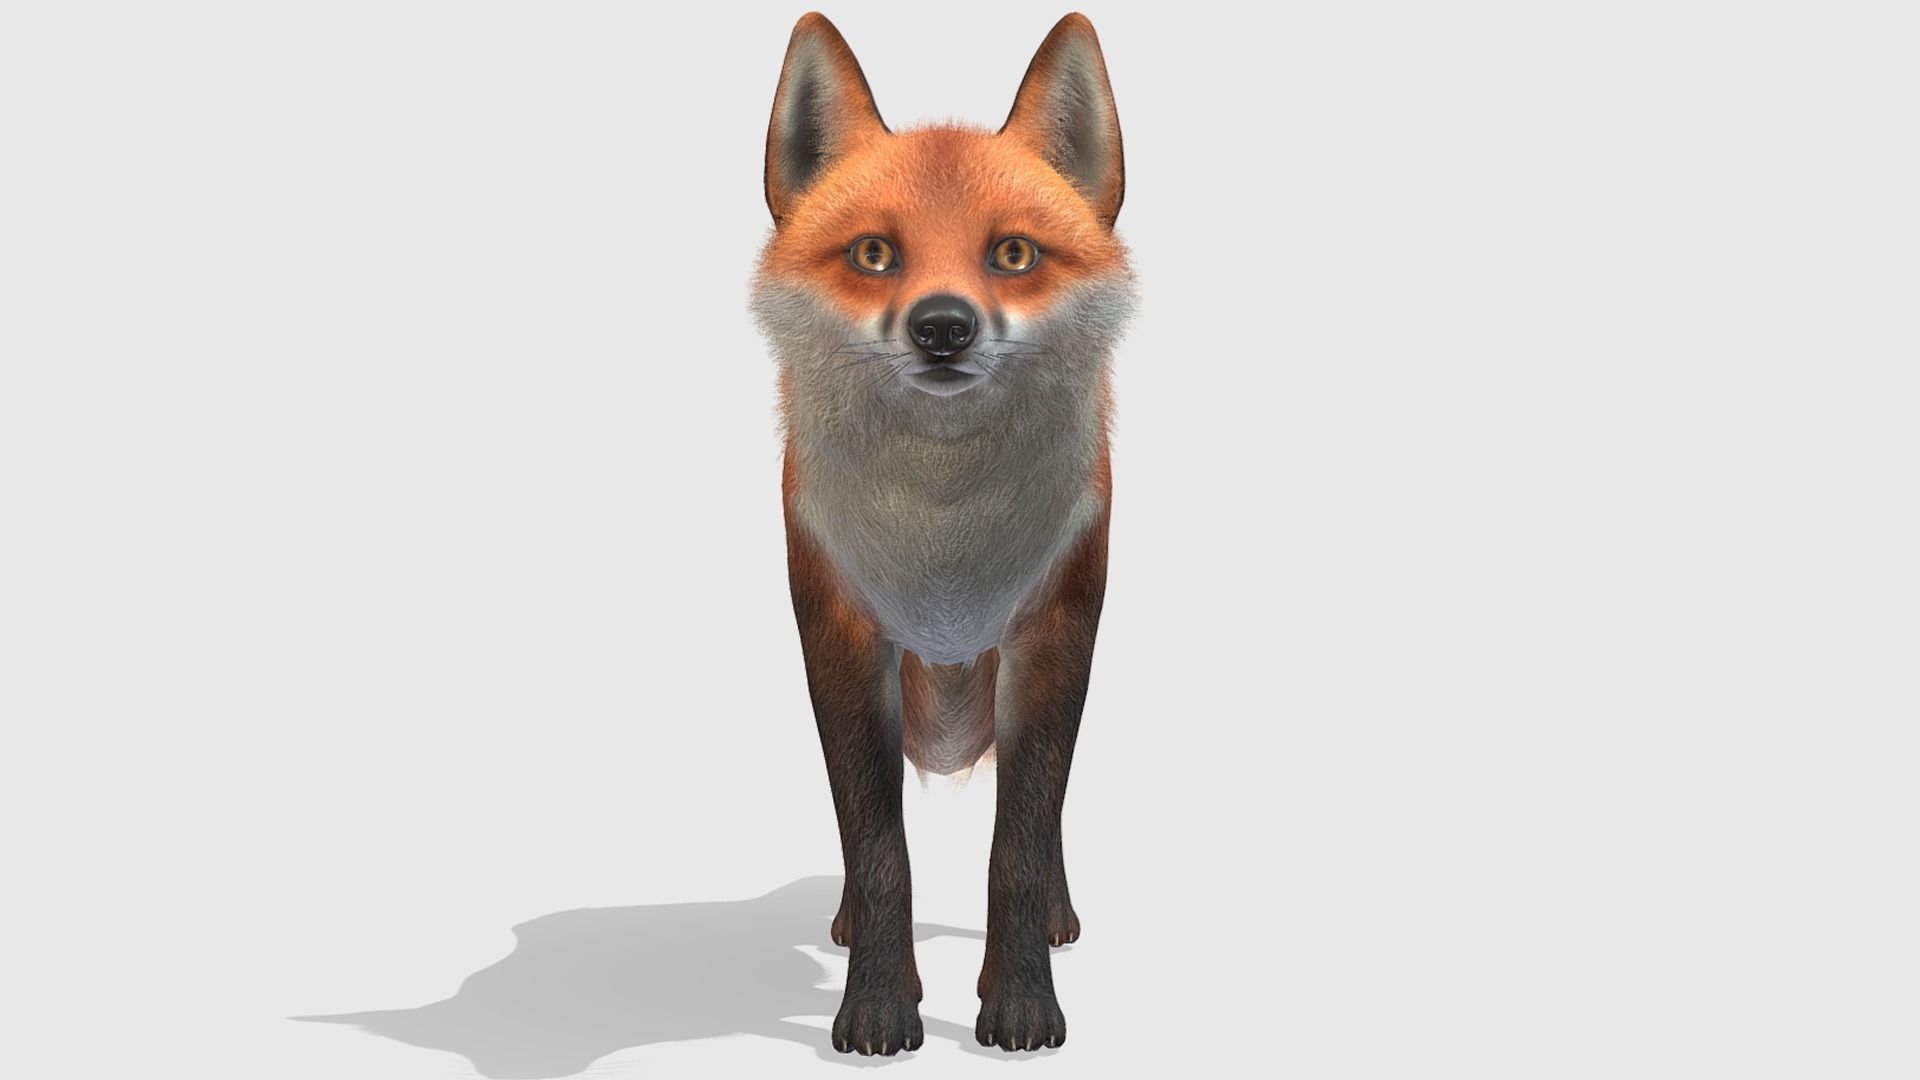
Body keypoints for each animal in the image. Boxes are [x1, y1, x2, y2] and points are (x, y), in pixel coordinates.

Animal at [748, 12, 1136, 1056]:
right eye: (875, 255)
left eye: (1013, 255)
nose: (944, 328)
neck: (944, 543)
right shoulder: (842, 638)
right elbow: (879, 850)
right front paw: (879, 1004)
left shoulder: (1053, 634)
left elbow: (1019, 846)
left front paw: (1022, 1003)